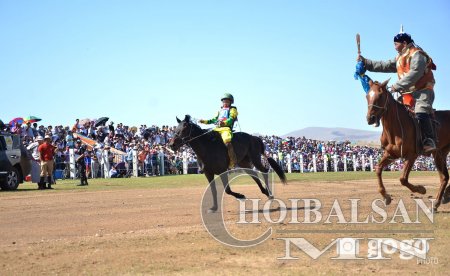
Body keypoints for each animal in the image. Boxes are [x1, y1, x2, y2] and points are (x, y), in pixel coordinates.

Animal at [366, 80, 450, 211]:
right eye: (367, 96)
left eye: (380, 96)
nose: (370, 118)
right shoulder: (390, 155)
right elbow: (378, 169)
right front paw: (386, 196)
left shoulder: (412, 155)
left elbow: (403, 179)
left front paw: (421, 189)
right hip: (439, 154)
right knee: (444, 178)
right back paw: (439, 201)